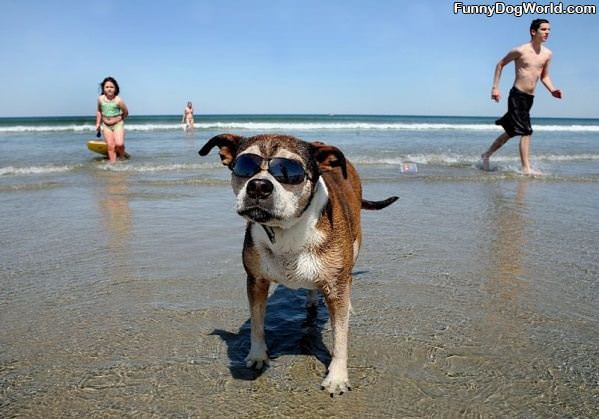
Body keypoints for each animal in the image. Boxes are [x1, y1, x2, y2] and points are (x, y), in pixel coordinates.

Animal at [200, 135, 398, 398]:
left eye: (290, 171)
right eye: (244, 166)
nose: (258, 186)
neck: (287, 230)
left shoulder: (336, 284)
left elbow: (340, 336)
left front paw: (337, 377)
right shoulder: (256, 280)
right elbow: (257, 323)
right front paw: (258, 355)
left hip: (355, 245)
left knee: (348, 278)